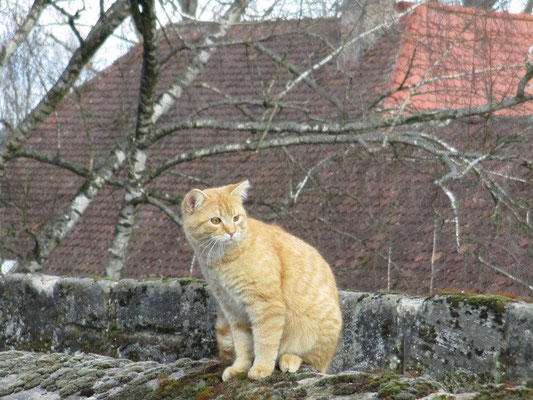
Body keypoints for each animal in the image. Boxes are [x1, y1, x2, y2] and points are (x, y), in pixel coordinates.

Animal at [182, 180, 340, 380]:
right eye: (216, 220)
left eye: (235, 218)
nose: (232, 232)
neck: (221, 260)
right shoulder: (232, 309)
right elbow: (242, 344)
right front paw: (240, 367)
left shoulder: (266, 305)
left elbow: (265, 341)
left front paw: (262, 368)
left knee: (314, 361)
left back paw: (290, 359)